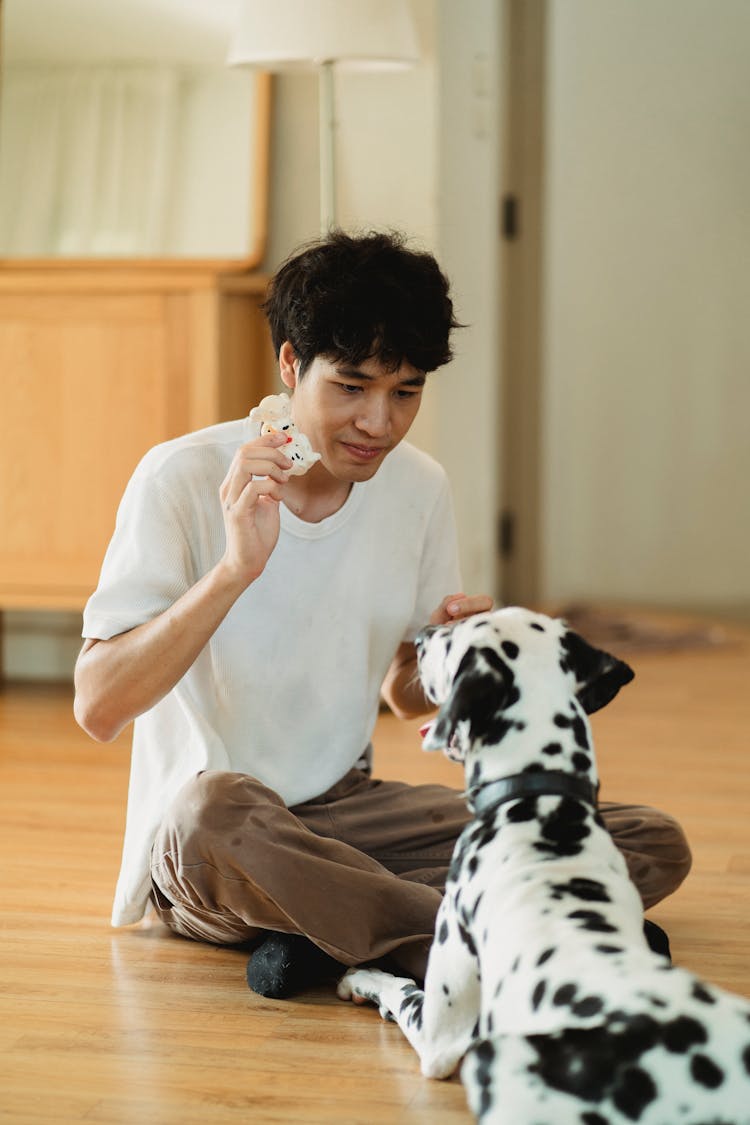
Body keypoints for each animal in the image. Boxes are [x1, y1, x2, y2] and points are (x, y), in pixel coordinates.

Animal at [337, 612, 750, 1120]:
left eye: (453, 640)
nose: (420, 637)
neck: (542, 805)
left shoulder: (441, 1030)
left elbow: (400, 990)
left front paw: (363, 977)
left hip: (495, 1057)